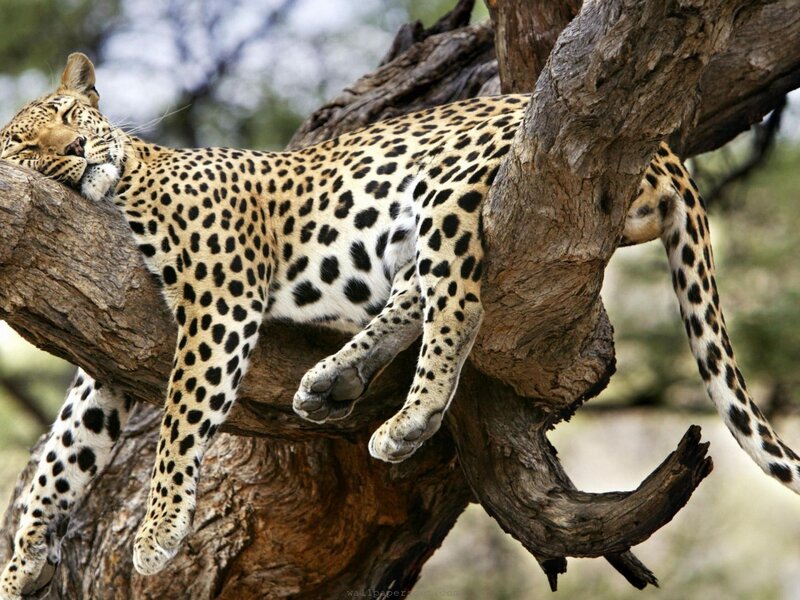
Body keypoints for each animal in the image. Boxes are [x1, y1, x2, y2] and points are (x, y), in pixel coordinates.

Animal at [1, 52, 799, 598]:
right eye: (23, 145)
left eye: (70, 118)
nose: (75, 152)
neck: (121, 187)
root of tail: (663, 147)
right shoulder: (106, 351)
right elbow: (64, 452)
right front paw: (22, 560)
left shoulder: (218, 298)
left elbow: (178, 422)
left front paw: (158, 532)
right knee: (417, 290)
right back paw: (334, 378)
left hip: (449, 189)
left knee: (459, 303)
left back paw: (407, 420)